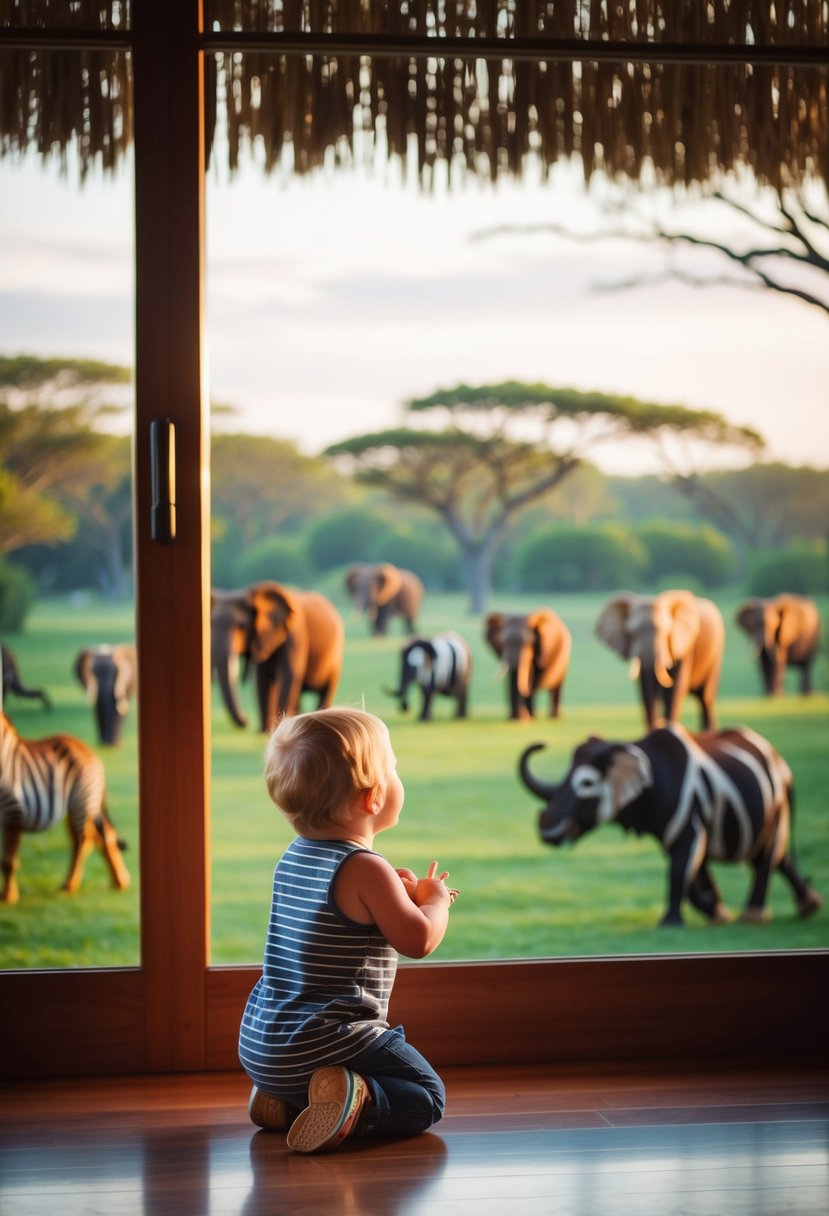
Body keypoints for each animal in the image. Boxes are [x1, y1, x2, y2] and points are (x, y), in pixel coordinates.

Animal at [212, 581, 345, 729]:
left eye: (241, 626)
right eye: (210, 625)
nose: (246, 720)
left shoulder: (294, 636)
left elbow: (289, 675)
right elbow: (261, 680)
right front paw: (265, 730)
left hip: (336, 652)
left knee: (326, 688)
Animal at [593, 590, 724, 729]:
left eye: (665, 631)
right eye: (633, 633)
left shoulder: (683, 645)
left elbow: (673, 691)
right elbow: (646, 692)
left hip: (716, 654)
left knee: (705, 698)